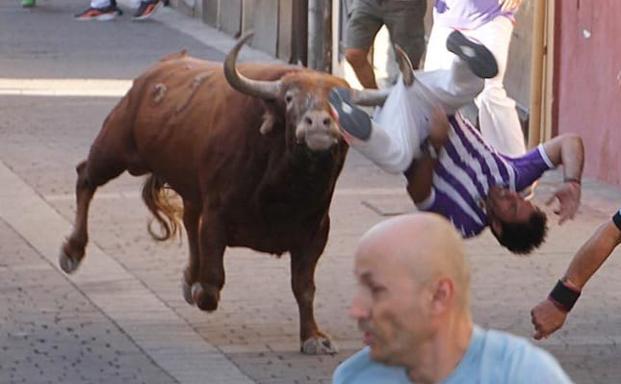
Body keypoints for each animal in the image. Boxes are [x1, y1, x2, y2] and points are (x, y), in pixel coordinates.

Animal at [58, 33, 398, 354]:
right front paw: (199, 289)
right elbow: (213, 281)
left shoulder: (315, 231)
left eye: (343, 103)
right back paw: (72, 251)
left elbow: (304, 287)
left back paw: (187, 276)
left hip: (186, 186)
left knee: (189, 219)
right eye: (289, 98)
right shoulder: (217, 216)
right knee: (85, 177)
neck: (285, 190)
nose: (318, 123)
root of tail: (155, 72)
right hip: (115, 146)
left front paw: (313, 337)